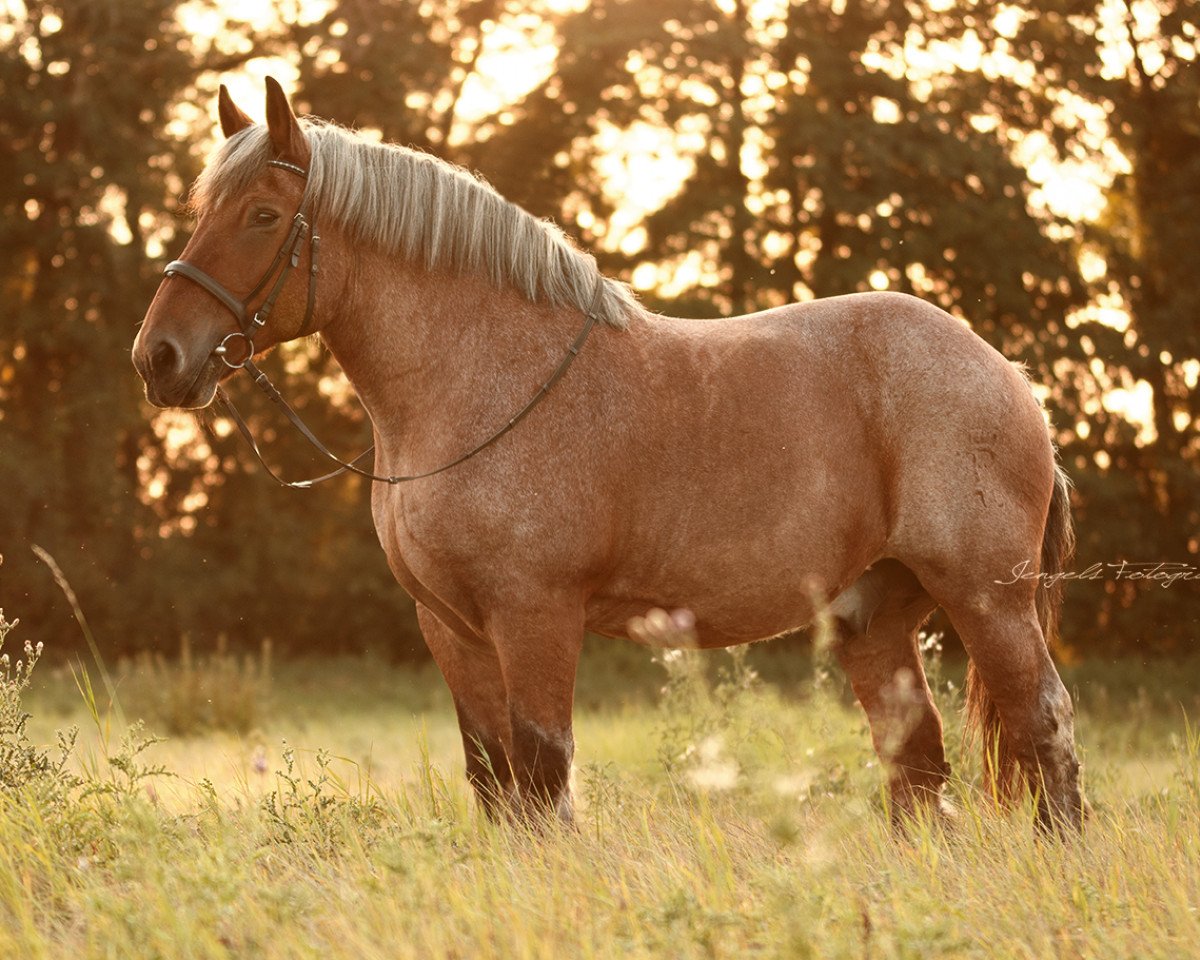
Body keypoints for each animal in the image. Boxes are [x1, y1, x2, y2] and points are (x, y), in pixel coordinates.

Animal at [132, 79, 1083, 832]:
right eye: (203, 210)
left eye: (262, 215)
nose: (159, 358)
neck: (478, 378)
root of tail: (1010, 377)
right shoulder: (450, 626)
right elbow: (494, 779)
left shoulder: (536, 615)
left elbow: (543, 775)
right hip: (875, 614)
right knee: (917, 760)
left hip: (987, 598)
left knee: (1045, 728)